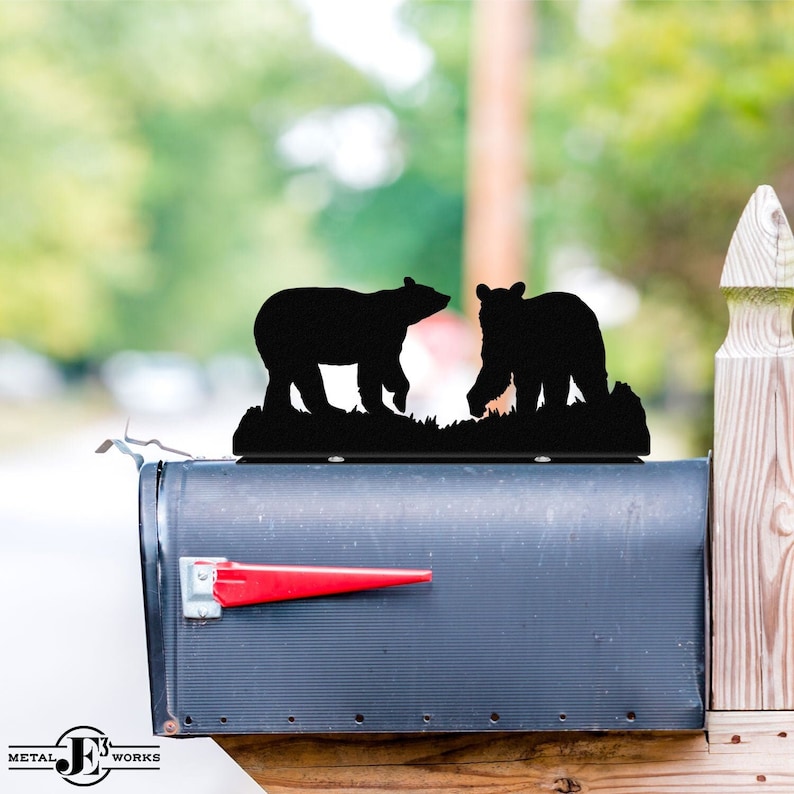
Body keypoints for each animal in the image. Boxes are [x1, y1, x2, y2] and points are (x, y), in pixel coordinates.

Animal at [254, 277, 450, 417]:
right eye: (431, 291)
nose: (447, 297)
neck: (399, 315)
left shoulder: (391, 341)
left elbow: (383, 368)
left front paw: (391, 403)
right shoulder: (380, 337)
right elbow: (379, 370)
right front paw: (393, 405)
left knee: (287, 376)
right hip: (289, 341)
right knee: (302, 375)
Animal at [466, 282, 609, 417]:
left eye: (510, 310)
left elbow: (519, 381)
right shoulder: (495, 348)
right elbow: (496, 374)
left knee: (588, 372)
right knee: (558, 380)